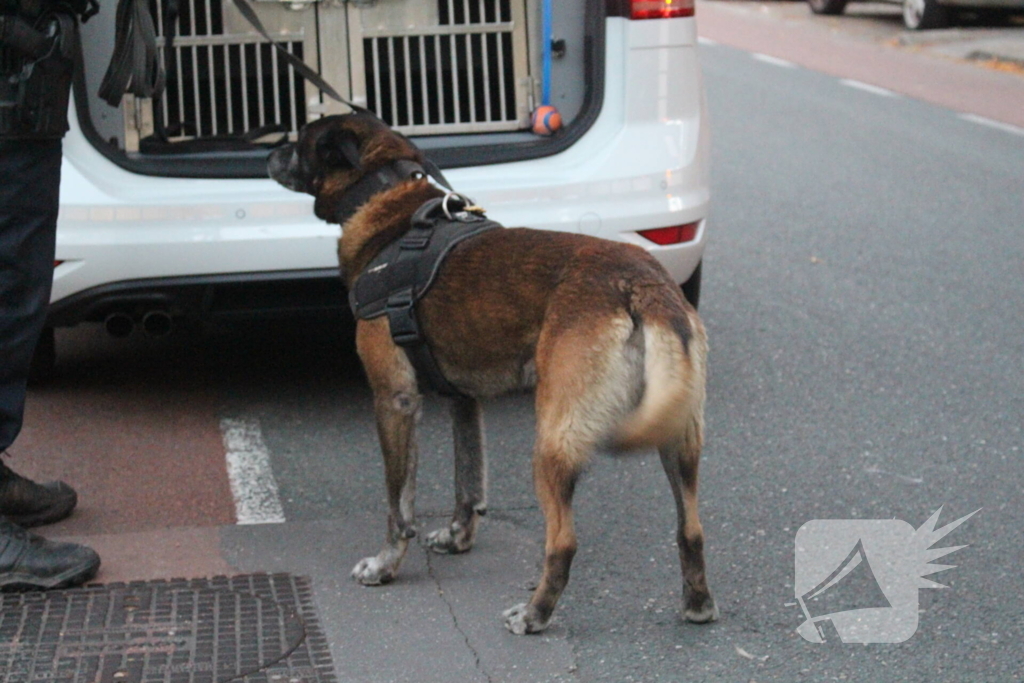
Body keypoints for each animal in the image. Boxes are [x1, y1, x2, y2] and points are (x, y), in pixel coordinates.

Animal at [272, 113, 720, 634]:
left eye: (300, 141)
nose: (269, 151)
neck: (386, 200)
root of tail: (641, 283)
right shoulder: (462, 400)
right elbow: (468, 480)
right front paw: (457, 537)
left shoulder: (394, 400)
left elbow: (398, 504)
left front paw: (385, 566)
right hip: (678, 437)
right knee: (691, 527)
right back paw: (697, 604)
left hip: (553, 441)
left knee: (563, 540)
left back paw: (534, 614)